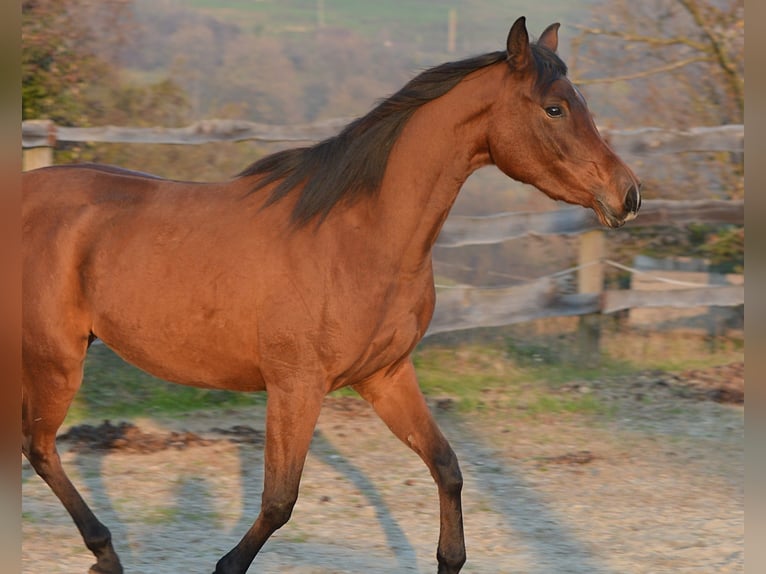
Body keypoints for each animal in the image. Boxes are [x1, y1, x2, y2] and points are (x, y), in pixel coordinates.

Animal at [21, 18, 640, 574]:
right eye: (555, 108)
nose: (629, 194)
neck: (359, 238)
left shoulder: (386, 376)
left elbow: (447, 467)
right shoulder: (296, 386)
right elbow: (278, 502)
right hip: (56, 359)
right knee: (39, 446)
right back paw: (105, 553)